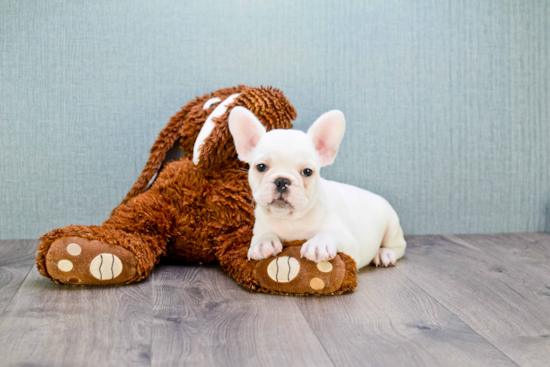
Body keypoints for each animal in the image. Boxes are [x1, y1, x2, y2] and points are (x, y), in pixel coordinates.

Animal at [229, 108, 406, 268]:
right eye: (261, 167)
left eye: (307, 171)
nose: (282, 181)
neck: (290, 218)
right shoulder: (259, 229)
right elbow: (263, 235)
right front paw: (263, 243)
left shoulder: (350, 244)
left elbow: (329, 232)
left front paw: (319, 244)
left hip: (392, 227)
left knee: (399, 246)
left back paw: (384, 254)